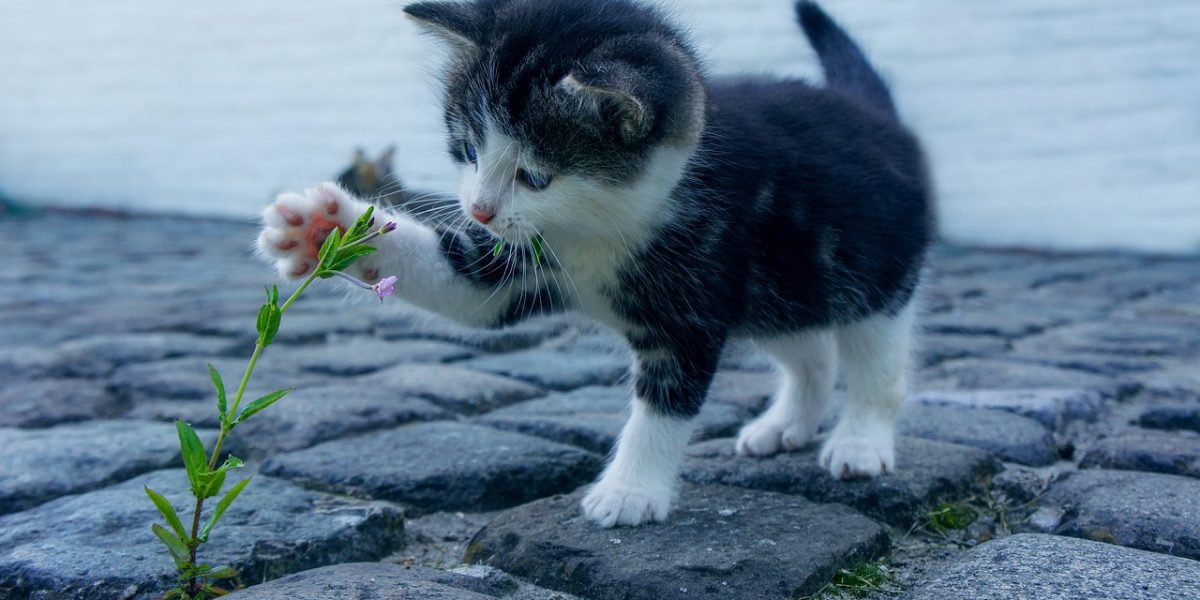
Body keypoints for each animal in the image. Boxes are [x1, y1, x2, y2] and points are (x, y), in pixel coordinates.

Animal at [258, 0, 931, 525]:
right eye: (468, 149)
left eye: (535, 176)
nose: (477, 210)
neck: (599, 228)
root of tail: (876, 116)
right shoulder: (519, 259)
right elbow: (466, 288)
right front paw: (324, 228)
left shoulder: (694, 298)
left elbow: (665, 402)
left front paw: (630, 491)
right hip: (778, 287)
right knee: (810, 350)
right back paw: (786, 423)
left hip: (872, 273)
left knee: (876, 361)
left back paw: (860, 440)